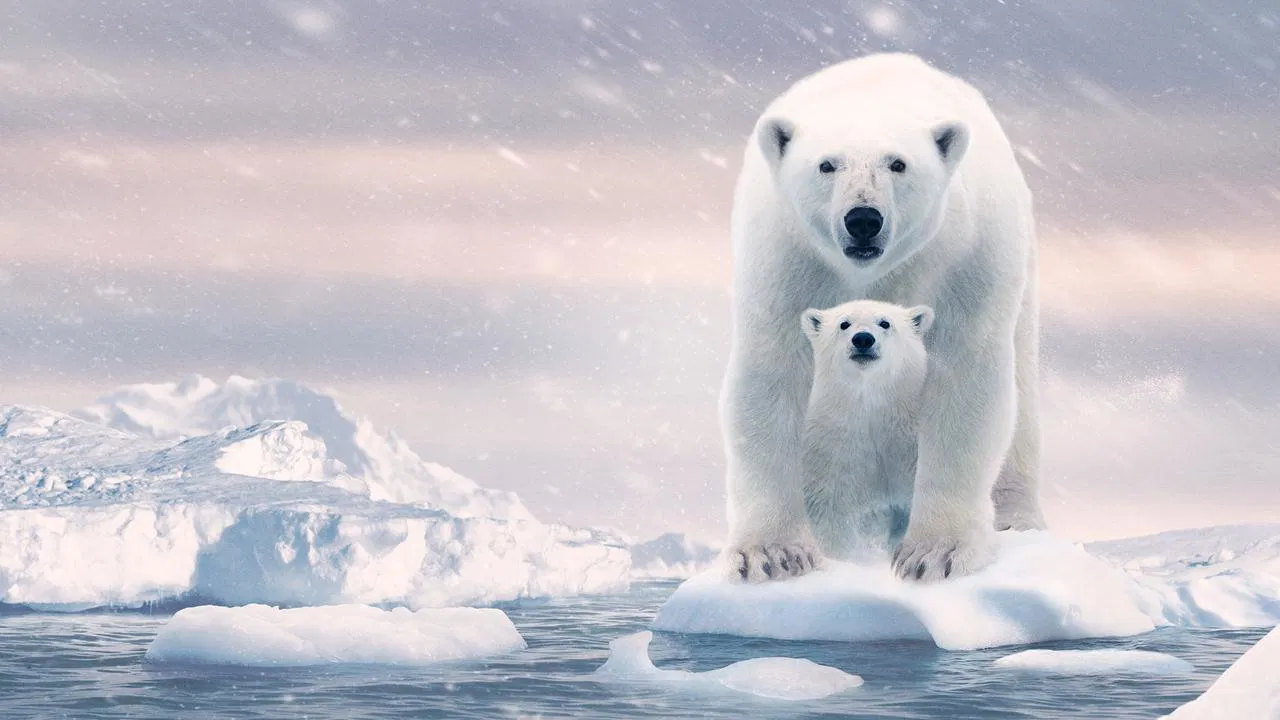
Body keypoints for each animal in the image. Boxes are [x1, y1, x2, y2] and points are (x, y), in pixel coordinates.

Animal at [800, 300, 933, 564]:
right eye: (844, 323)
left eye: (885, 322)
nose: (862, 339)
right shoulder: (834, 448)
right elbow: (833, 512)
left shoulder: (908, 445)